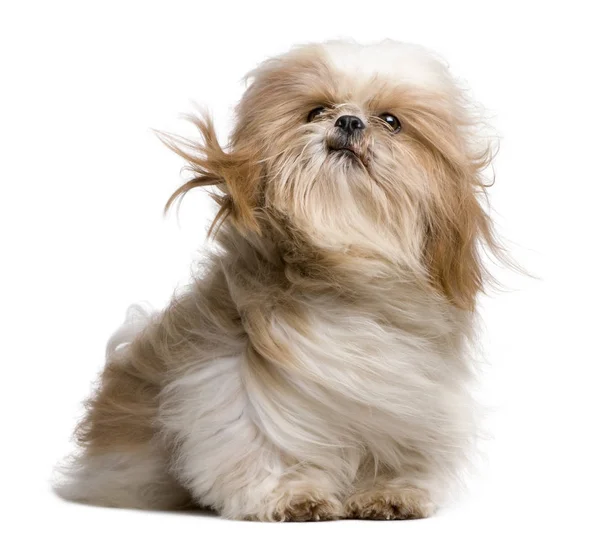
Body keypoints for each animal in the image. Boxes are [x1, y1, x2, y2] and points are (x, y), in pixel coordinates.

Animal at [56, 40, 500, 524]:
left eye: (391, 121)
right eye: (316, 111)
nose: (349, 121)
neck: (344, 271)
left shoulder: (401, 394)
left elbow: (394, 443)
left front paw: (389, 492)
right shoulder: (232, 374)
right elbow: (259, 438)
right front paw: (292, 494)